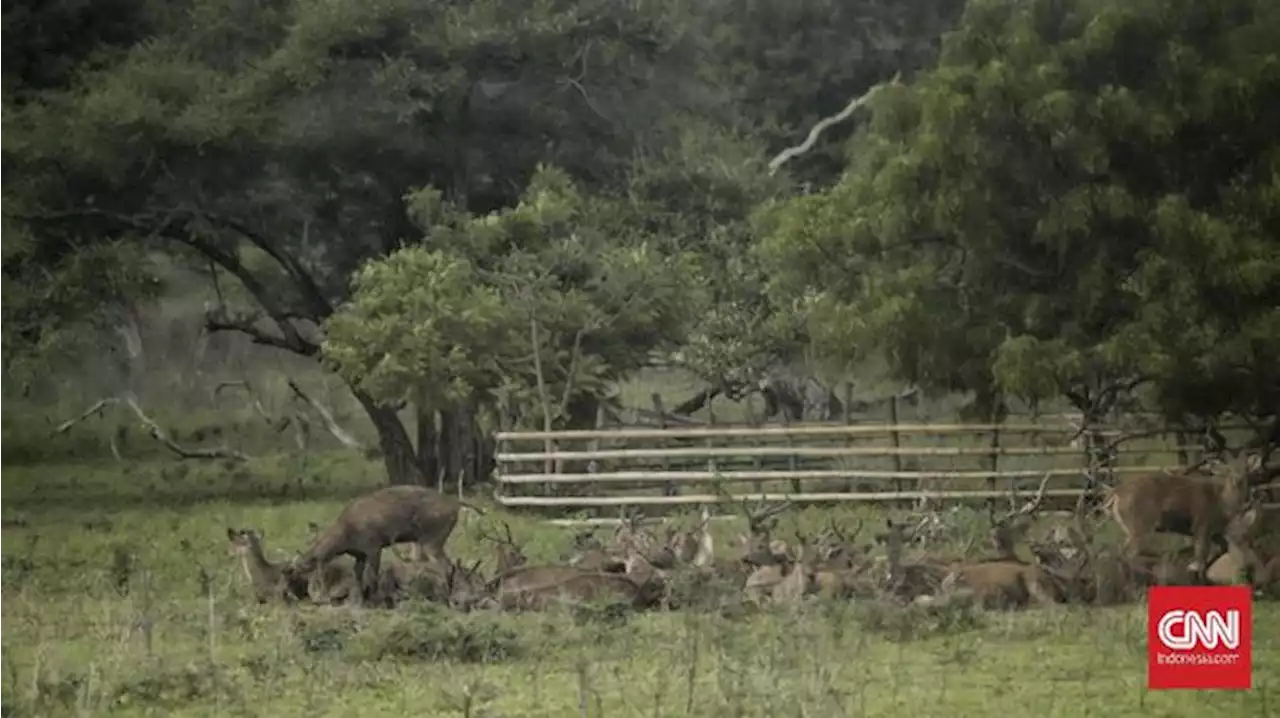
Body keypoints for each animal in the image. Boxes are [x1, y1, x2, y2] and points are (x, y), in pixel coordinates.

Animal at [282, 481, 463, 604]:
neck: (347, 529)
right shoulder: (360, 556)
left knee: (446, 567)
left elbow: (373, 577)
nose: (289, 596)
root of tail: (455, 504)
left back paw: (447, 597)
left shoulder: (374, 549)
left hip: (432, 542)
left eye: (295, 574)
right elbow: (358, 578)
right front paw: (358, 601)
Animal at [1100, 450, 1269, 586]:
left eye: (1246, 468)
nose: (1237, 478)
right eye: (1228, 468)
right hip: (1140, 524)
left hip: (1130, 527)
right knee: (1129, 554)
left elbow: (1219, 553)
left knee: (1121, 553)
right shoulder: (1202, 524)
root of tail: (1115, 494)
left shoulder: (1215, 532)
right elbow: (1200, 557)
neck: (1222, 503)